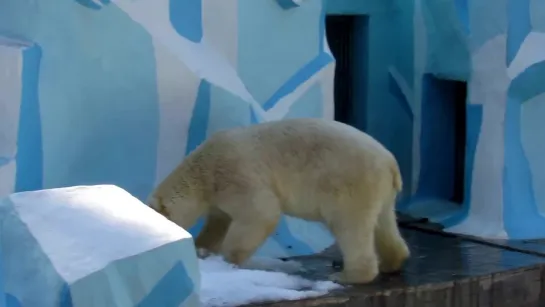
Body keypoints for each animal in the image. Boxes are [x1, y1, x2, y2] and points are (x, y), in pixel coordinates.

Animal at [147, 118, 410, 286]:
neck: (202, 171)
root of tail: (390, 162)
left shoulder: (236, 175)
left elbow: (260, 214)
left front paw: (229, 261)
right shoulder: (218, 195)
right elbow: (218, 222)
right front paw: (202, 249)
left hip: (348, 183)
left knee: (349, 226)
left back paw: (349, 275)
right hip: (379, 190)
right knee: (383, 222)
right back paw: (392, 262)